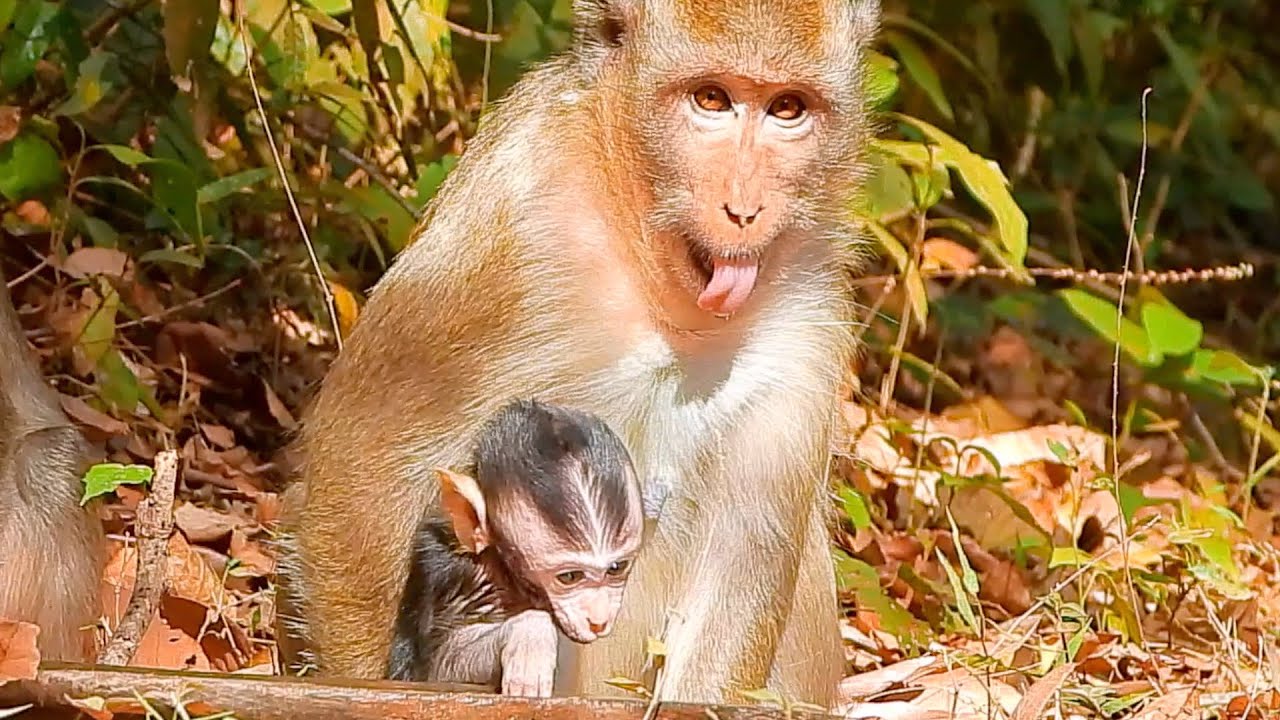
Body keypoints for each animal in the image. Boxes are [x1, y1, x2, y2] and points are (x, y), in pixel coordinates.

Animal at [386, 398, 645, 697]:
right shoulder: (457, 575)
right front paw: (530, 635)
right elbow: (435, 673)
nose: (598, 619)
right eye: (570, 577)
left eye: (616, 568)